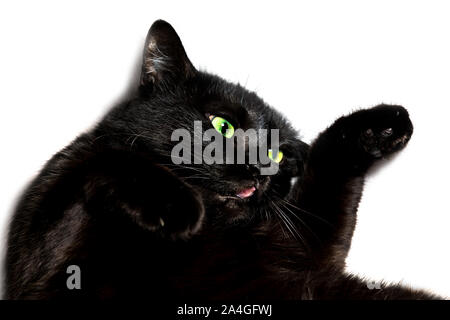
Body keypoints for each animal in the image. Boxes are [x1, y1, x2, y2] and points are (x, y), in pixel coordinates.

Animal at [4, 20, 440, 300]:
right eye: (223, 125)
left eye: (277, 153)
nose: (259, 172)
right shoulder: (46, 262)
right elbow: (104, 161)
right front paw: (174, 206)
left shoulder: (299, 249)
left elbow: (326, 184)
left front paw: (380, 127)